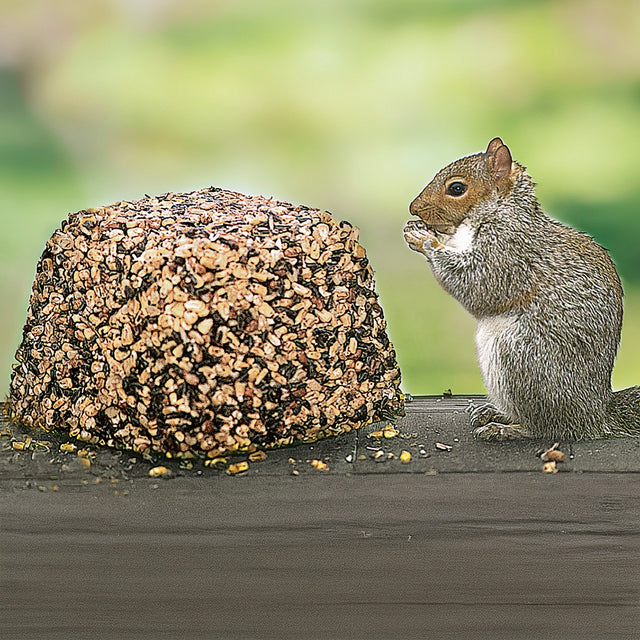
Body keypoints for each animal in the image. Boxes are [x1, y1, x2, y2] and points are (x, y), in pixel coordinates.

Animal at [403, 137, 640, 440]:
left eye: (456, 188)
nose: (414, 208)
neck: (501, 211)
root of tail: (595, 415)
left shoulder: (510, 251)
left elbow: (479, 285)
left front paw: (425, 241)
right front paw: (421, 230)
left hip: (522, 360)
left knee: (546, 427)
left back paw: (505, 428)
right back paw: (492, 412)